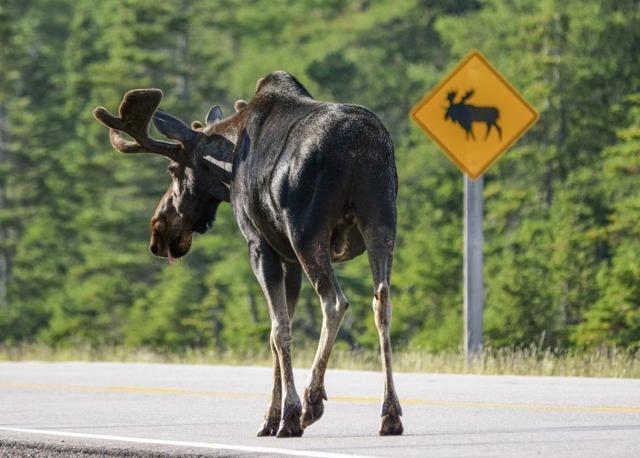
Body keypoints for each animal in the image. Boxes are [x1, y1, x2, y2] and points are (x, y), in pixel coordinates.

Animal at [92, 71, 402, 436]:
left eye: (172, 169)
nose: (159, 231)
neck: (229, 166)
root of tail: (357, 146)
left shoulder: (261, 245)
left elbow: (278, 330)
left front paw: (286, 415)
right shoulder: (288, 256)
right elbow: (279, 328)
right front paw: (272, 416)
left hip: (308, 231)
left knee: (335, 302)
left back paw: (313, 400)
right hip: (381, 220)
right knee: (382, 301)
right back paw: (390, 412)